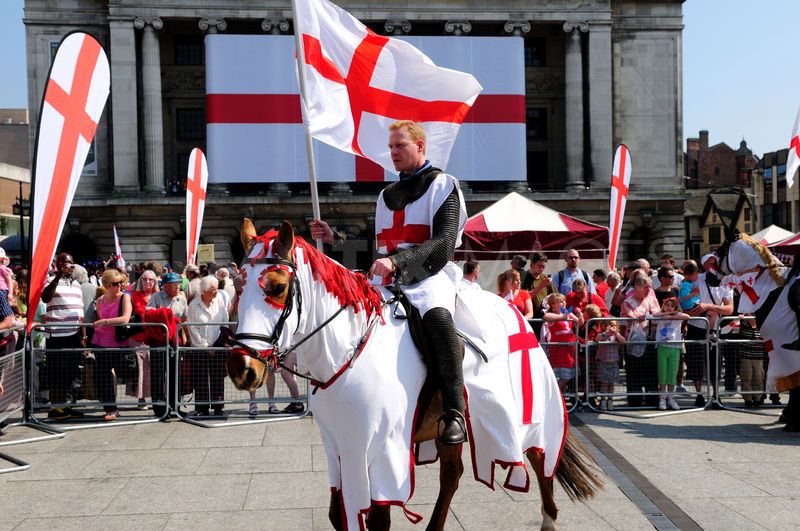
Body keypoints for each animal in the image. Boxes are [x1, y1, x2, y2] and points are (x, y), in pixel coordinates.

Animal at [225, 221, 600, 531]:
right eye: (239, 285)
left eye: (277, 287)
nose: (241, 369)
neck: (351, 347)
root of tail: (515, 313)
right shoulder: (339, 447)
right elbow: (337, 515)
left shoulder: (382, 450)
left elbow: (378, 520)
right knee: (452, 474)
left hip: (528, 413)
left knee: (540, 457)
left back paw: (549, 517)